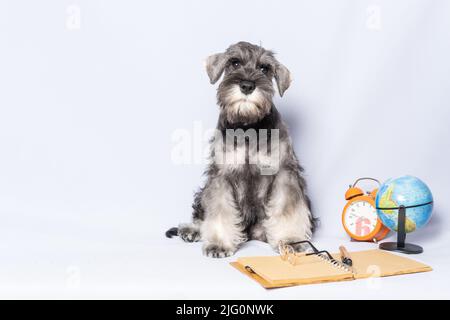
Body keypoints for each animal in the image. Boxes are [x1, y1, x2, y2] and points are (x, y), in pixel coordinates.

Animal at [166, 42, 316, 258]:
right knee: (201, 214)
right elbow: (220, 209)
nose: (247, 85)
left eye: (264, 68)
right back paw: (192, 230)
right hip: (203, 193)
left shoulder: (284, 174)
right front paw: (219, 243)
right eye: (234, 62)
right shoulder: (221, 176)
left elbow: (286, 207)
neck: (247, 127)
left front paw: (291, 240)